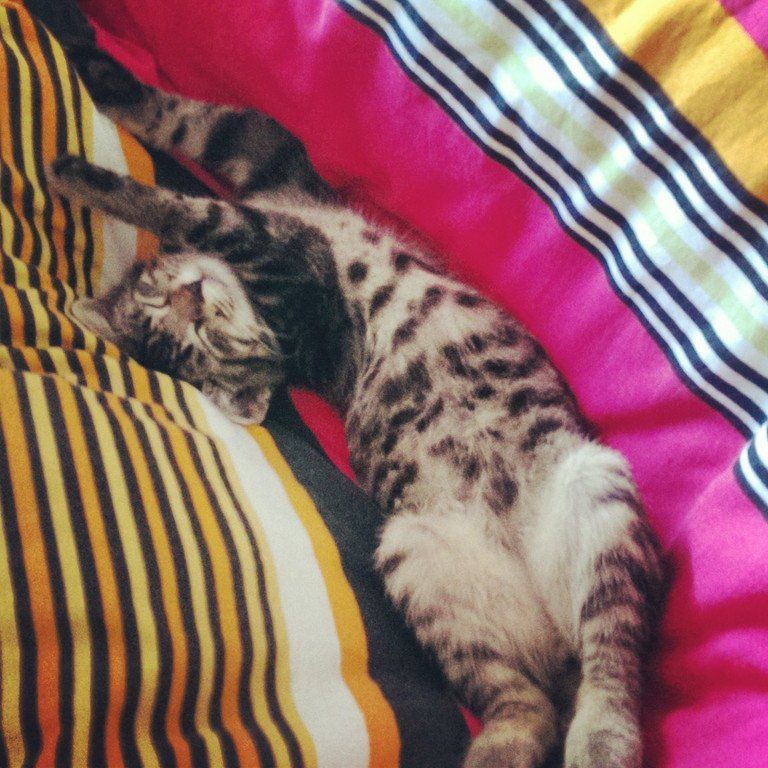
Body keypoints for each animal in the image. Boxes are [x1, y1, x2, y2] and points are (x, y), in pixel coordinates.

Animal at [48, 48, 665, 768]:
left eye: (193, 326)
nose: (191, 296)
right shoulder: (290, 263)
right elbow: (195, 207)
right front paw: (85, 169)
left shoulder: (274, 179)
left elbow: (190, 129)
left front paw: (97, 83)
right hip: (418, 561)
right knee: (532, 702)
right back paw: (509, 747)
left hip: (594, 493)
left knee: (609, 662)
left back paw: (596, 736)